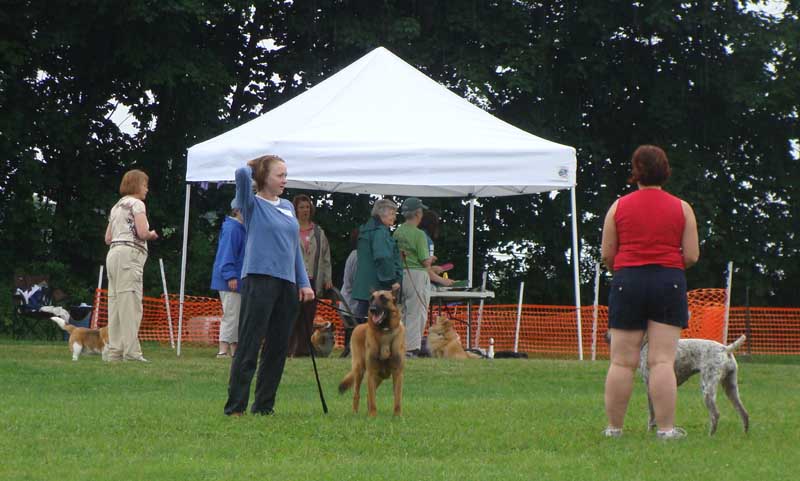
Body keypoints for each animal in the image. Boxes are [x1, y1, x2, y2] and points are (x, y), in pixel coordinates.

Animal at [336, 288, 404, 416]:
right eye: (371, 299)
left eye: (383, 298)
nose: (372, 309)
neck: (384, 332)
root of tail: (359, 325)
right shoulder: (371, 372)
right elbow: (372, 398)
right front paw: (372, 416)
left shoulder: (397, 373)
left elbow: (397, 398)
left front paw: (397, 416)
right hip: (360, 370)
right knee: (357, 394)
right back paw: (355, 413)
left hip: (381, 376)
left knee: (368, 395)